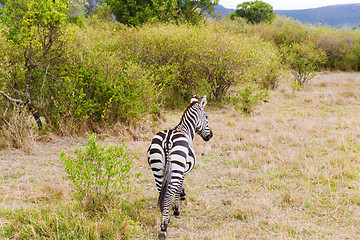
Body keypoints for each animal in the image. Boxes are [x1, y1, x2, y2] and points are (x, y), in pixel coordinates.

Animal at [147, 95, 212, 238]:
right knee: (169, 193)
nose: (210, 135)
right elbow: (177, 189)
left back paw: (164, 218)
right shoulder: (182, 171)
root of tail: (167, 140)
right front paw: (177, 208)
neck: (185, 130)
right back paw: (164, 227)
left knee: (161, 192)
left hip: (157, 169)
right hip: (175, 168)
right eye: (206, 116)